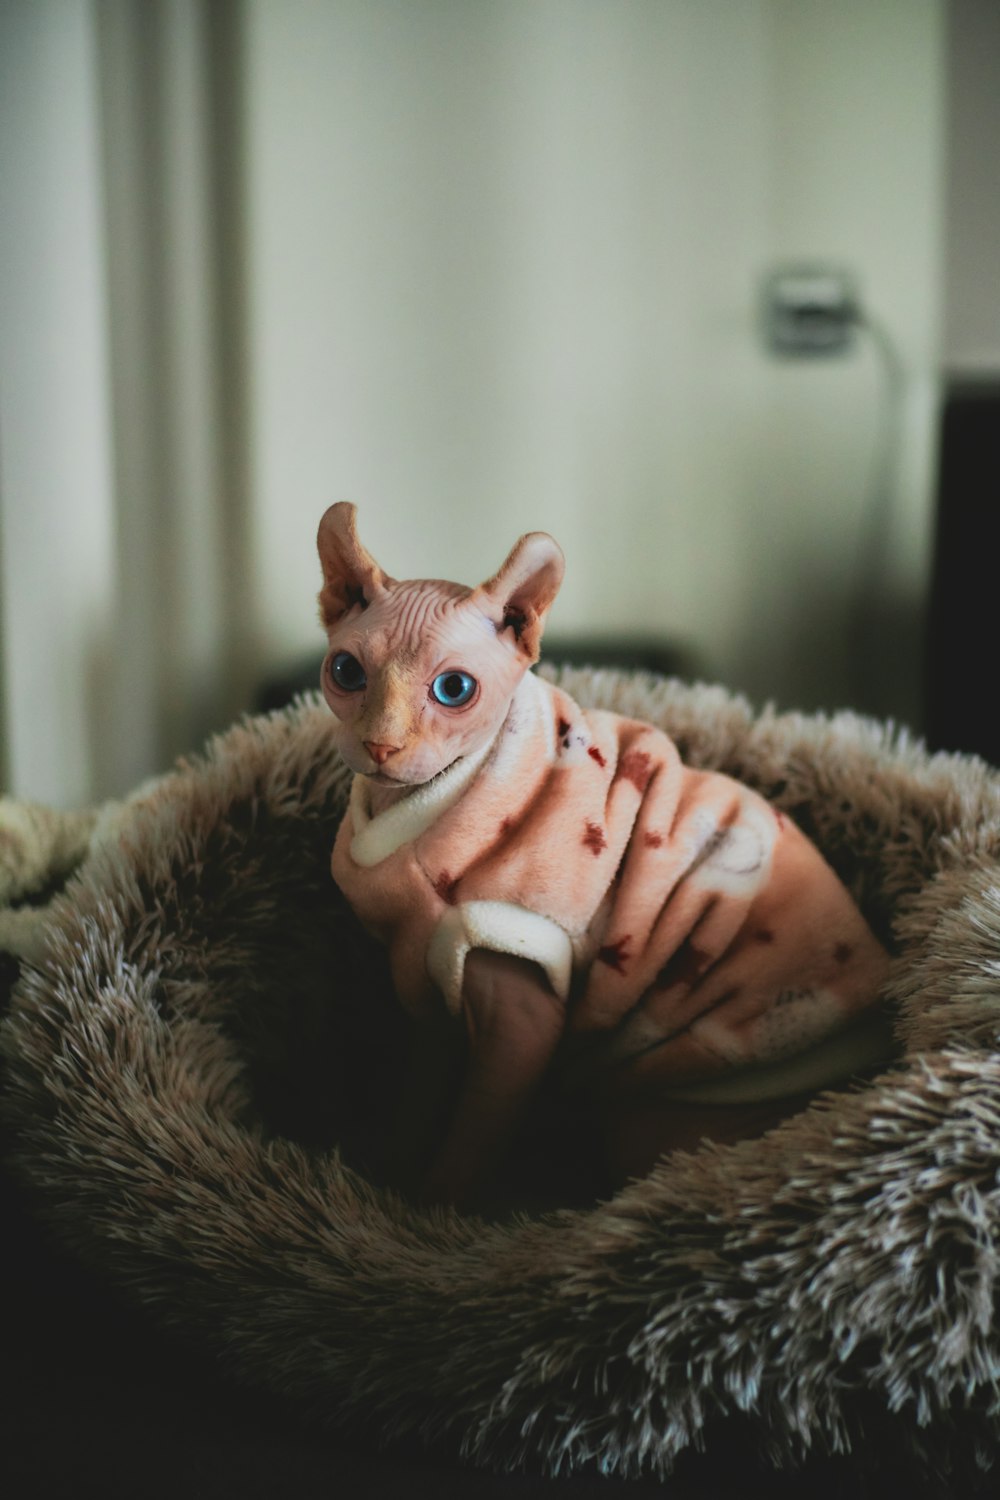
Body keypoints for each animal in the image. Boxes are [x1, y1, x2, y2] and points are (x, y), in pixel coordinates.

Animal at [316, 504, 887, 1206]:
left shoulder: (523, 1015)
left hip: (654, 1109)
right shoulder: (423, 991)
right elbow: (418, 1100)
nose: (381, 746)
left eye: (454, 689)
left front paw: (433, 1215)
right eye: (346, 673)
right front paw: (384, 1177)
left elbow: (470, 1142)